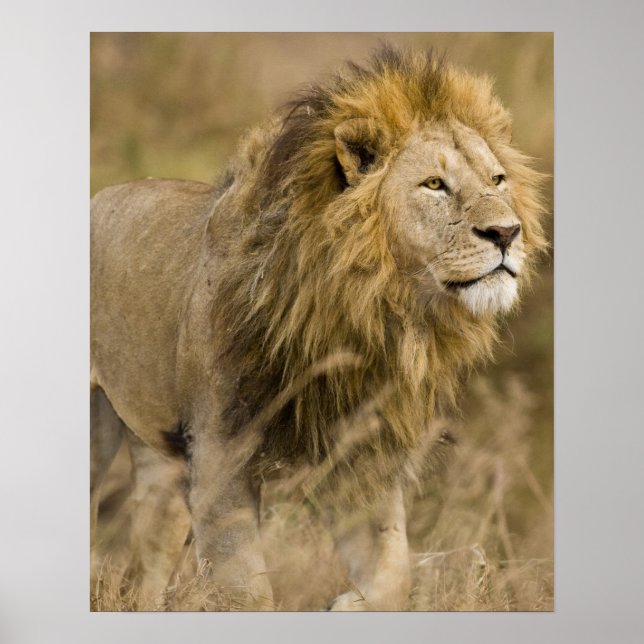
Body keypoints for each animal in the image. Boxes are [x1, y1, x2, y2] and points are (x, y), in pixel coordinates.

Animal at [90, 45, 547, 611]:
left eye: (497, 180)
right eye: (434, 184)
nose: (507, 233)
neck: (369, 308)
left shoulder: (361, 452)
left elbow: (394, 573)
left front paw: (349, 603)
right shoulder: (220, 451)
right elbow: (246, 593)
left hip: (161, 458)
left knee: (147, 560)